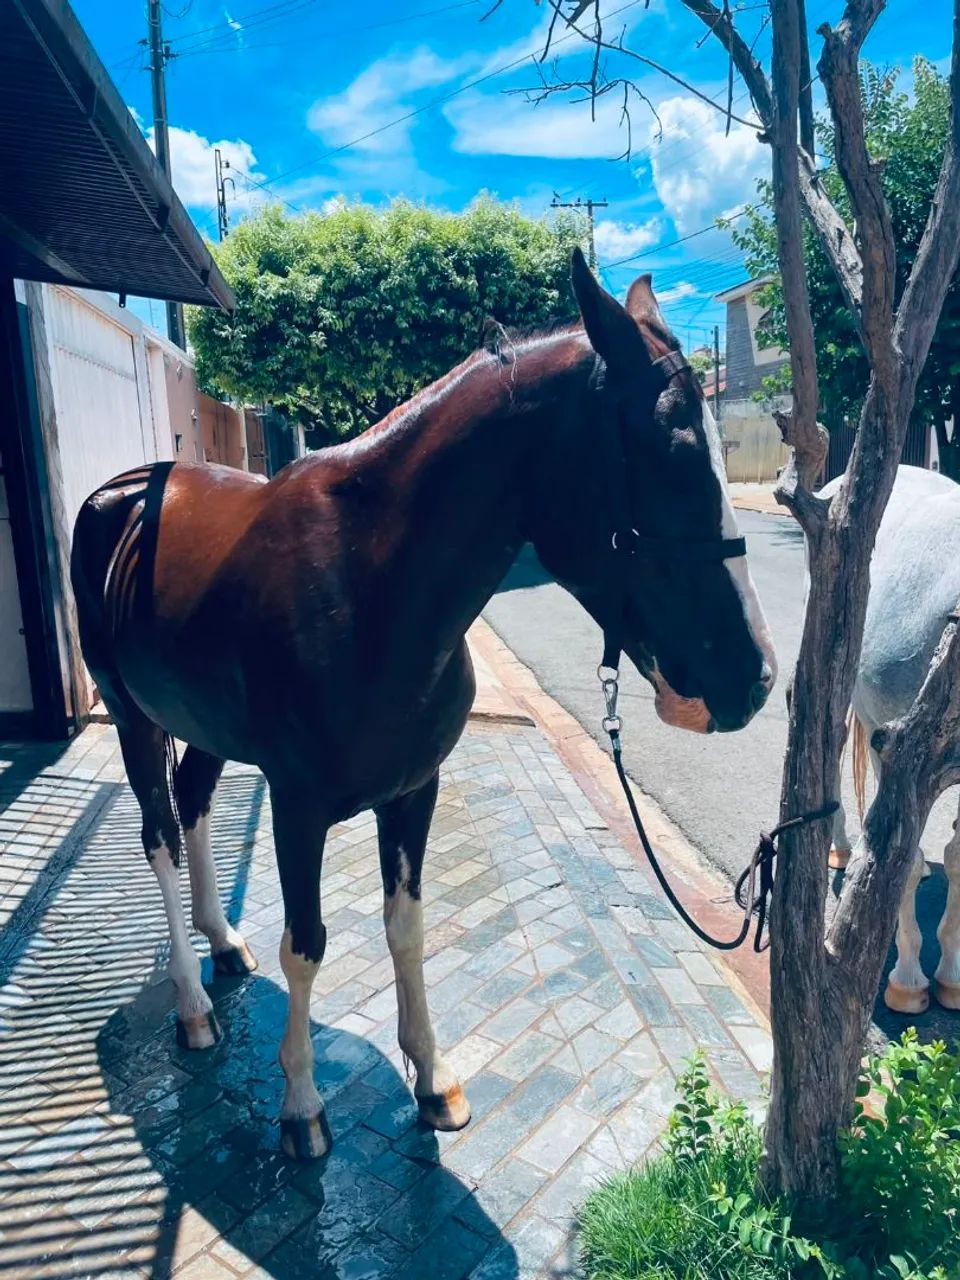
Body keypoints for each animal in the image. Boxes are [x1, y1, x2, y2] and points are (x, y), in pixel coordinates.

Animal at [70, 249, 777, 1161]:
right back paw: (193, 1004)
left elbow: (405, 926)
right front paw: (302, 1104)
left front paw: (433, 1078)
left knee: (192, 804)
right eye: (670, 452)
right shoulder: (297, 806)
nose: (754, 677)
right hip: (135, 720)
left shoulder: (413, 792)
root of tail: (120, 493)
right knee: (157, 833)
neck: (363, 582)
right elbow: (307, 944)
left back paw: (221, 942)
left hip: (203, 725)